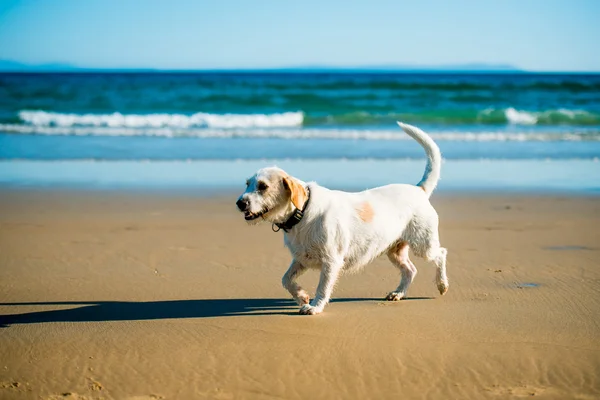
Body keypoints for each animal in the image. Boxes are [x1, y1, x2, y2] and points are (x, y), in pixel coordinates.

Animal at [237, 122, 448, 316]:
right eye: (247, 184)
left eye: (263, 186)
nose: (240, 203)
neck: (302, 213)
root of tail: (419, 189)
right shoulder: (301, 258)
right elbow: (286, 279)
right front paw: (302, 296)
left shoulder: (331, 261)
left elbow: (322, 288)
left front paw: (315, 306)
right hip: (395, 250)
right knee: (410, 270)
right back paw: (398, 293)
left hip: (424, 245)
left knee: (441, 253)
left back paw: (442, 284)